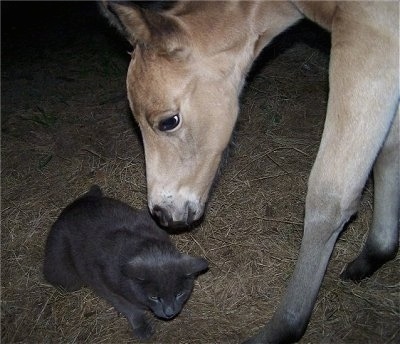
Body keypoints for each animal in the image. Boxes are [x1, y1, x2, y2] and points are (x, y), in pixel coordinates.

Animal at [43, 185, 208, 338]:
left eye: (180, 294)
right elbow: (128, 307)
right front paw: (142, 328)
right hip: (65, 275)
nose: (169, 313)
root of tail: (71, 207)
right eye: (154, 297)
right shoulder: (103, 284)